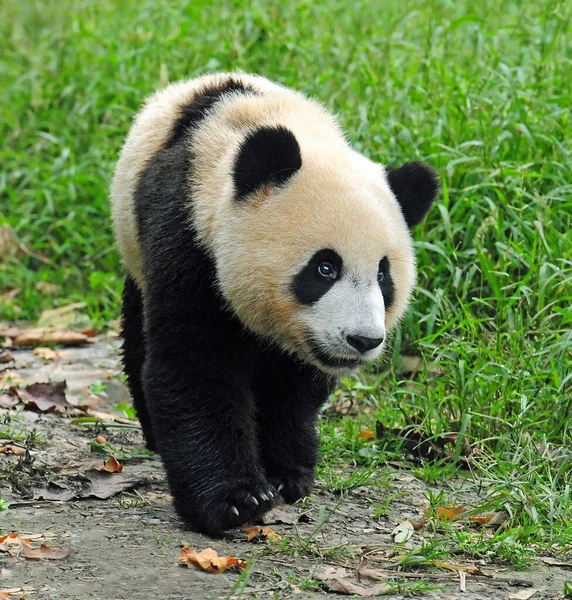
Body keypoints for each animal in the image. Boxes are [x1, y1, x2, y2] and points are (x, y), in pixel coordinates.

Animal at [109, 71, 438, 536]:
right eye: (324, 268)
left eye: (382, 275)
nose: (363, 340)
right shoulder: (188, 238)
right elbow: (194, 364)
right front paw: (234, 500)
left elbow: (294, 386)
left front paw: (285, 473)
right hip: (135, 250)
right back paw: (155, 437)